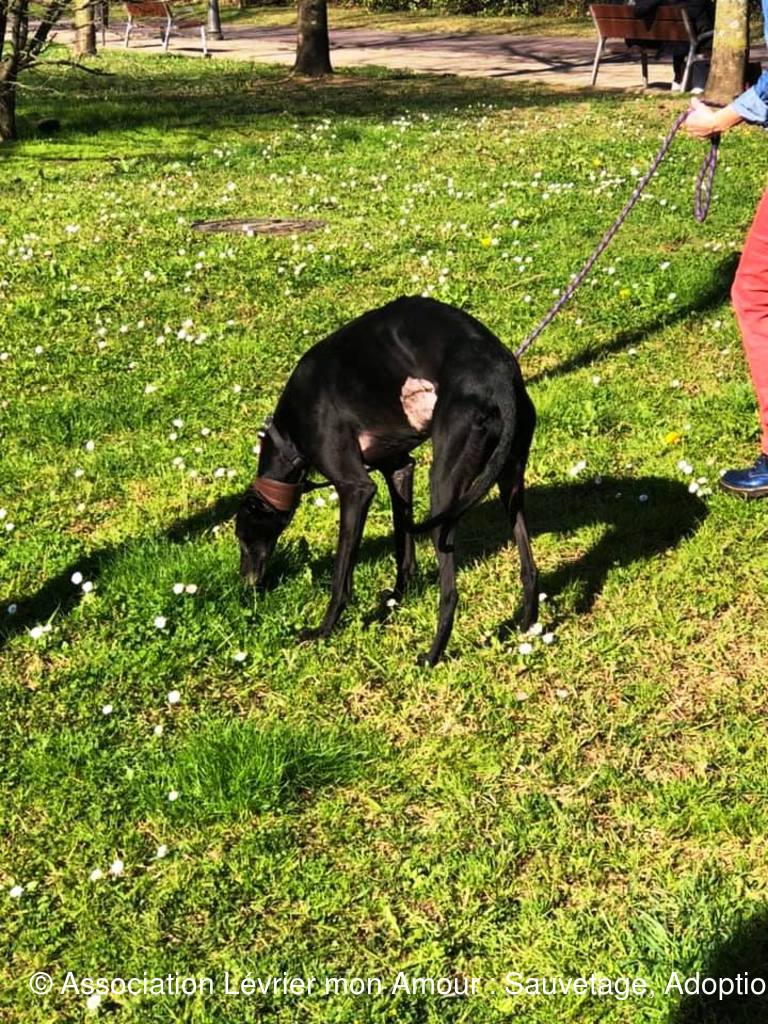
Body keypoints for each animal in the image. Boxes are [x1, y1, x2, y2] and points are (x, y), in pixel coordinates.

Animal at [235, 296, 538, 666]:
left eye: (243, 538)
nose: (246, 585)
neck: (288, 435)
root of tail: (502, 377)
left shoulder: (355, 488)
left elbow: (341, 575)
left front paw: (324, 629)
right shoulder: (398, 468)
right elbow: (402, 545)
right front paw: (397, 598)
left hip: (443, 493)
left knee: (450, 592)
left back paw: (432, 655)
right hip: (509, 478)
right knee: (529, 565)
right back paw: (526, 625)